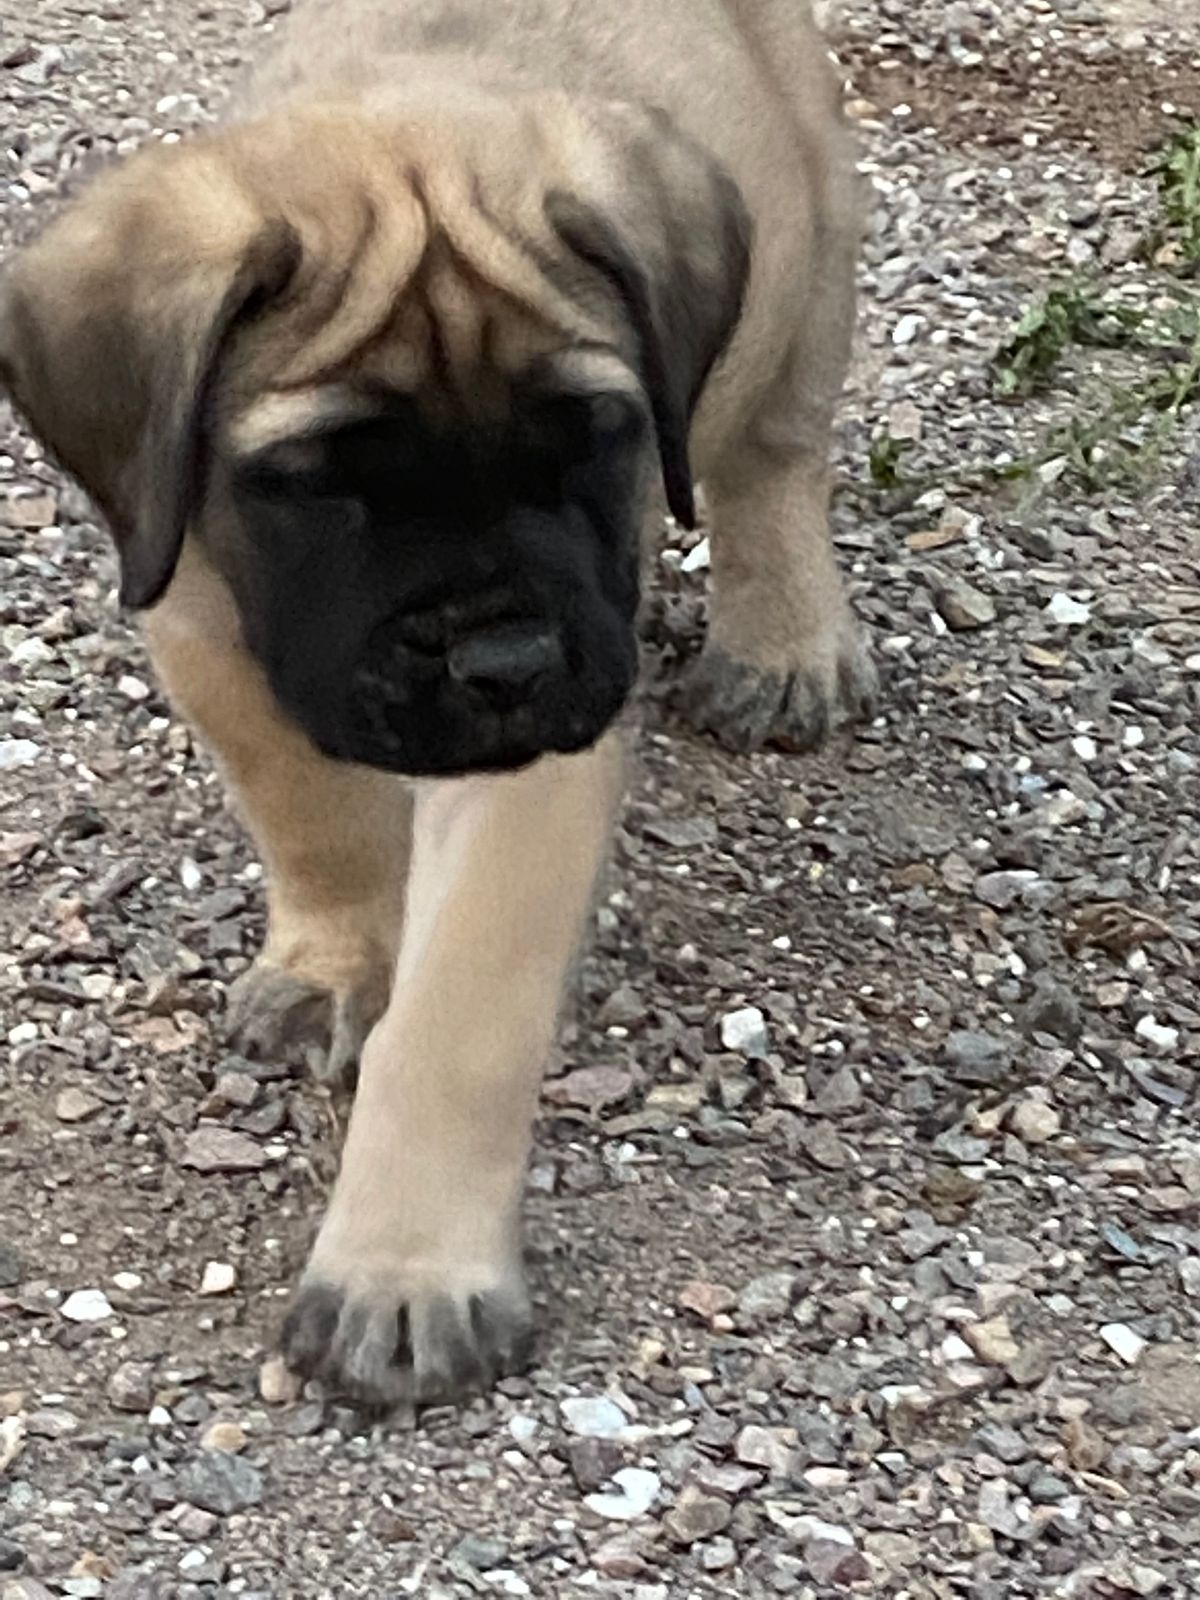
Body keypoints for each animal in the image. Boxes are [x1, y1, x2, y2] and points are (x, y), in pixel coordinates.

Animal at [0, 0, 873, 1407]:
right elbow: (311, 810)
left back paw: (786, 638)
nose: (505, 659)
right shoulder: (202, 618)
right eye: (318, 482)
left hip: (812, 240)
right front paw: (342, 959)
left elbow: (456, 1018)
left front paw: (404, 1271)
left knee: (774, 452)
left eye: (596, 436)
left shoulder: (534, 754)